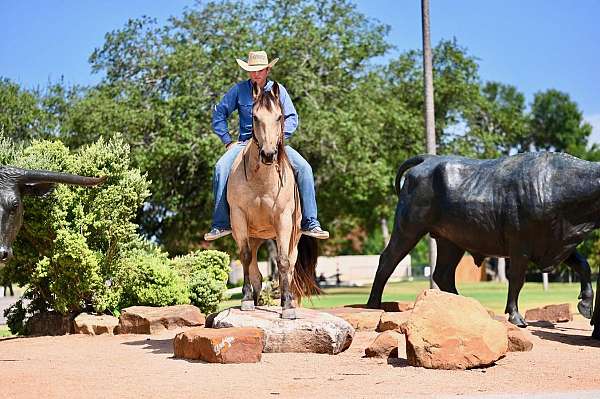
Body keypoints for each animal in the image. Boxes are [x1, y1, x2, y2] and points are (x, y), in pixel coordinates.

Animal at [226, 80, 318, 318]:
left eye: (279, 117)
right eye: (255, 116)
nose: (268, 154)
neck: (262, 181)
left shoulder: (283, 220)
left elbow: (283, 261)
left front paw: (287, 307)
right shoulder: (239, 219)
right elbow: (245, 257)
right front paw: (247, 299)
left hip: (292, 234)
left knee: (291, 262)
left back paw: (289, 298)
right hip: (254, 234)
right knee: (253, 264)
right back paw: (257, 295)